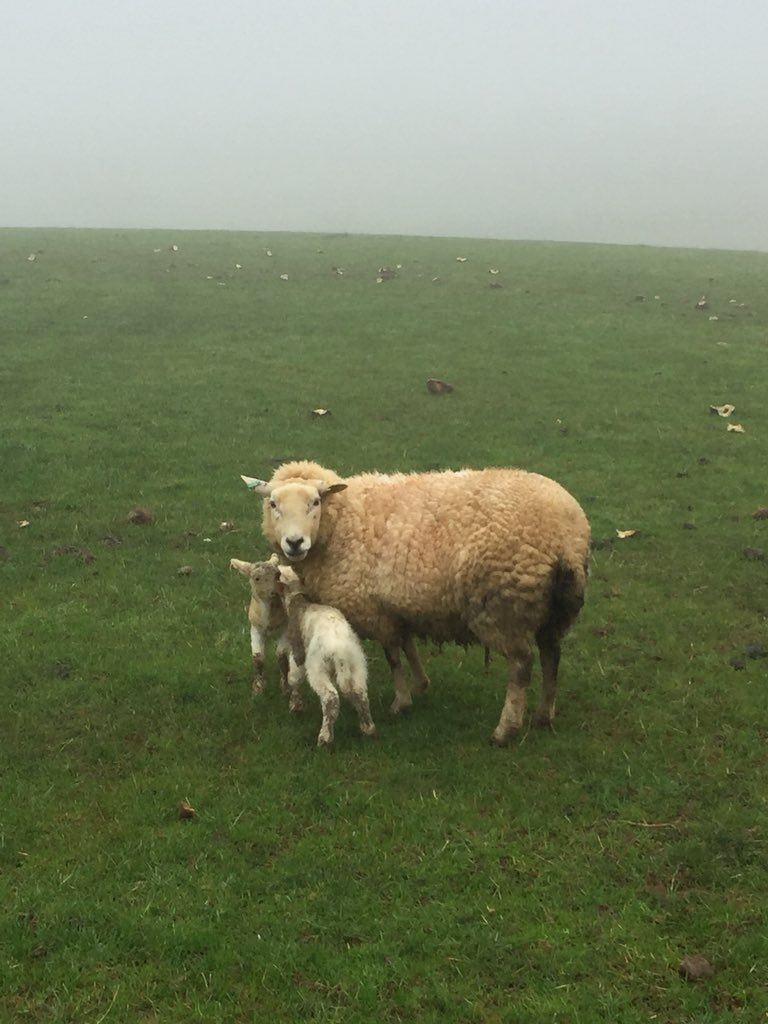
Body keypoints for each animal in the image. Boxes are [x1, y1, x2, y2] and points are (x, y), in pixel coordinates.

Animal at [229, 553, 294, 705]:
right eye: (257, 578)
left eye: (277, 575)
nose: (275, 592)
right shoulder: (255, 629)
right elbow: (258, 658)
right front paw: (258, 689)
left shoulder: (285, 629)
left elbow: (281, 655)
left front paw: (285, 688)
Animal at [276, 563, 377, 747]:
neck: (298, 602)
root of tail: (341, 651)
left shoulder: (298, 652)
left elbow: (294, 678)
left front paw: (295, 705)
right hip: (357, 664)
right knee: (360, 692)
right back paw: (368, 729)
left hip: (318, 666)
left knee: (330, 698)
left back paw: (325, 738)